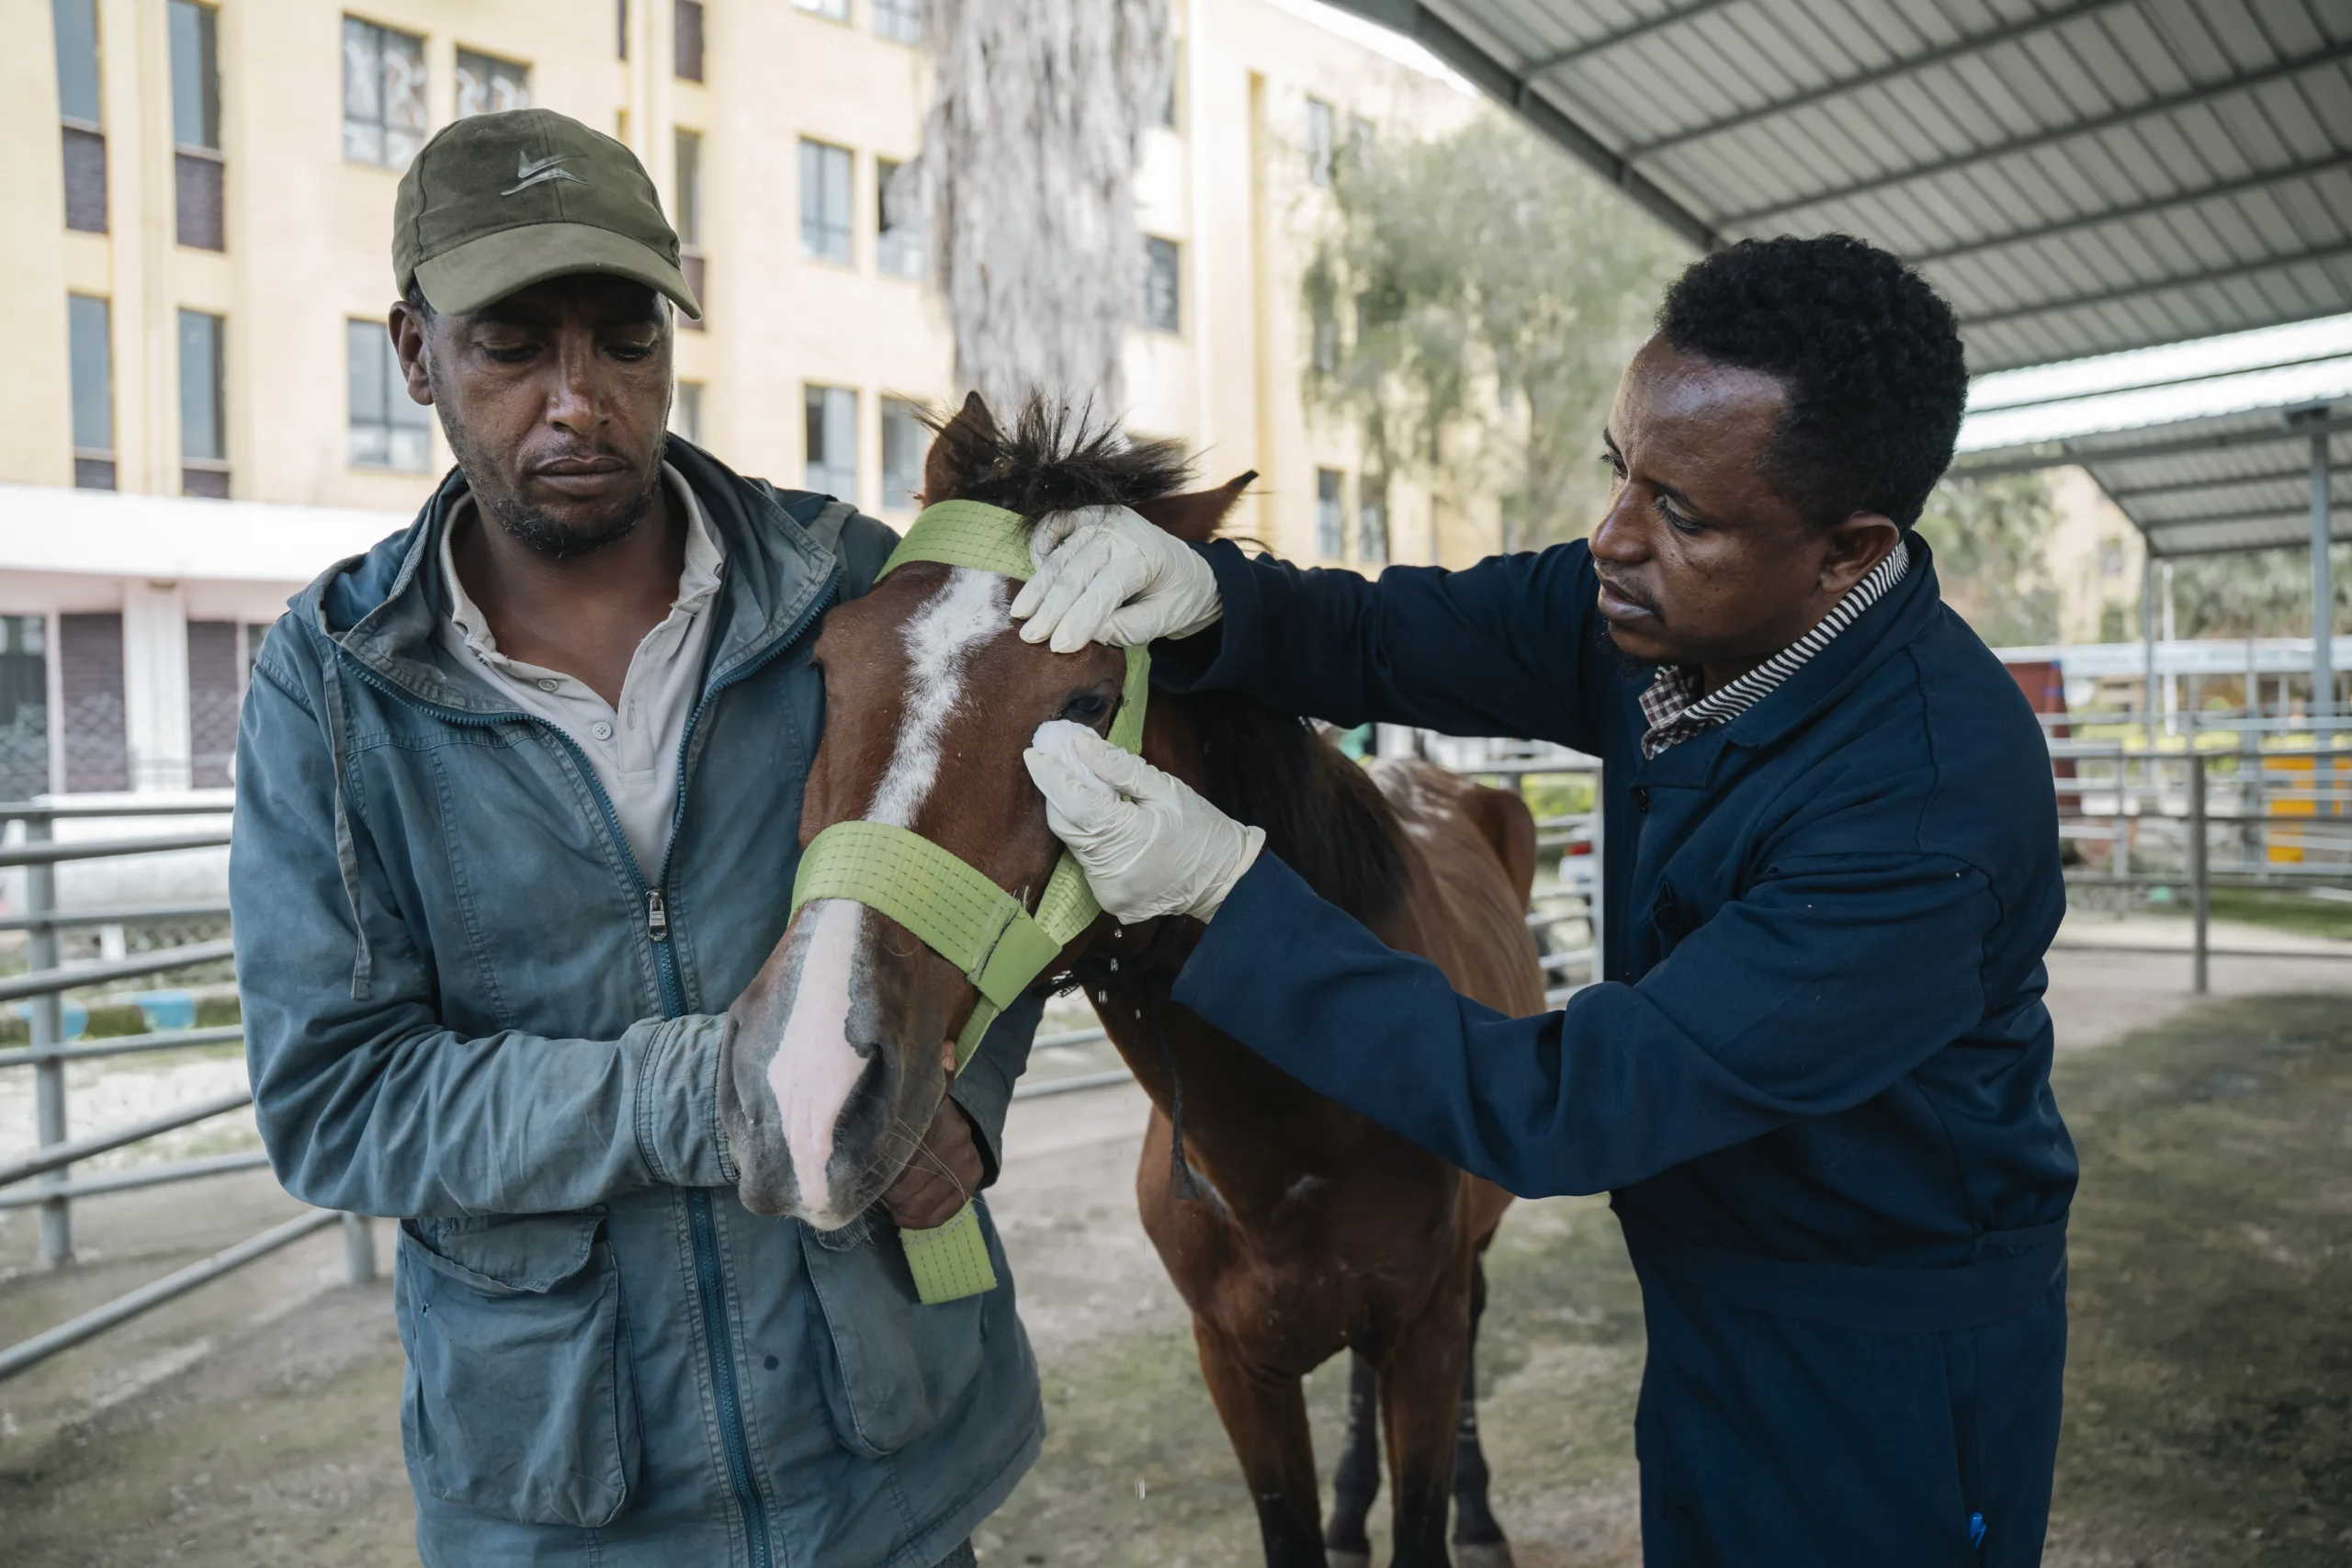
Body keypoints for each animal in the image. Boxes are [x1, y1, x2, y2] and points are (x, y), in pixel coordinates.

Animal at [724, 392, 1548, 1568]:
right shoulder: (1236, 1368)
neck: (1291, 1149)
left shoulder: (1423, 1336)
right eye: (830, 664)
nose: (803, 1088)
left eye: (1087, 699)